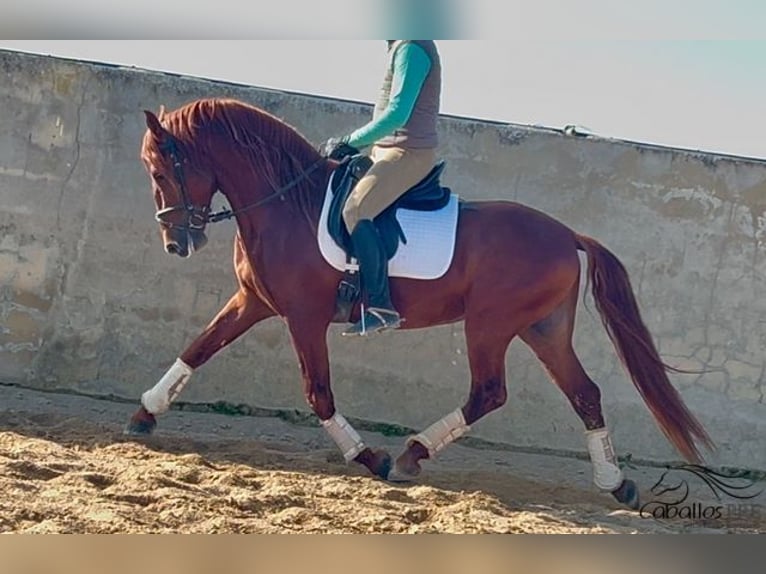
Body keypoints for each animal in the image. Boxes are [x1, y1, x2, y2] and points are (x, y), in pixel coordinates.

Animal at [124, 97, 712, 510]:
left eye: (160, 172)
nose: (176, 244)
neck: (287, 203)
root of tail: (567, 234)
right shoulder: (253, 301)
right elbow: (197, 350)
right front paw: (143, 416)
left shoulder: (303, 317)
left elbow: (318, 393)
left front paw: (370, 457)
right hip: (543, 328)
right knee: (584, 393)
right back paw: (616, 483)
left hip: (490, 324)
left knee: (489, 392)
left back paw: (410, 456)